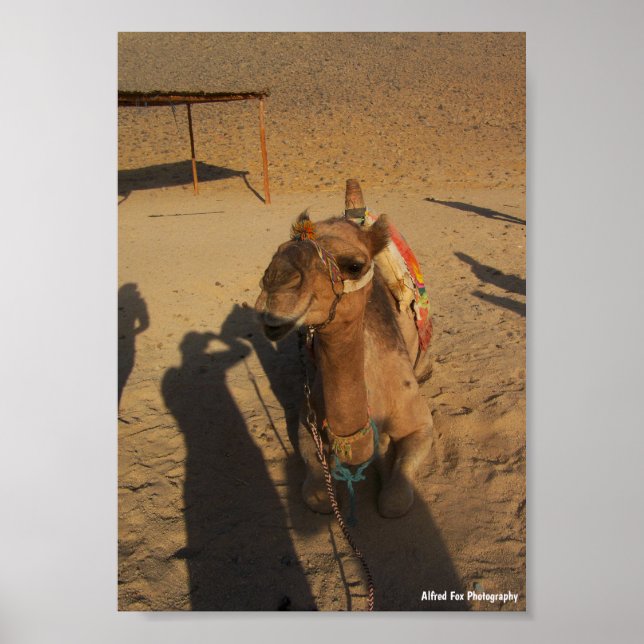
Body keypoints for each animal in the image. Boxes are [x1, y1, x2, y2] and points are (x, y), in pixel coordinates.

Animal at [255, 180, 433, 518]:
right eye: (277, 251)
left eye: (354, 265)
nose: (274, 287)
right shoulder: (307, 419)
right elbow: (317, 495)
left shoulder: (419, 423)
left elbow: (394, 501)